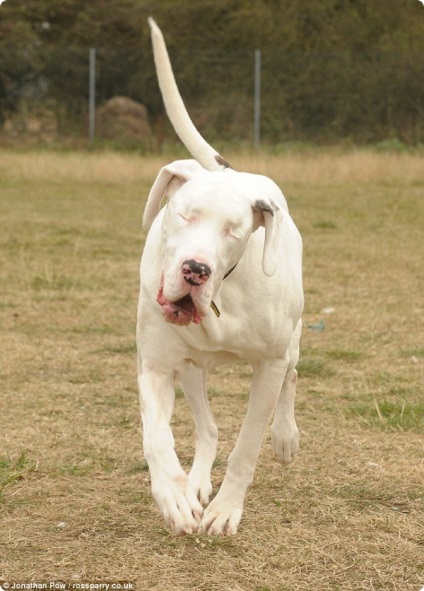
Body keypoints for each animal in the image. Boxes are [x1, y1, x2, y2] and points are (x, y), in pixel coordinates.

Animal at [137, 18, 304, 536]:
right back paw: (193, 482)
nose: (195, 269)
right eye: (183, 214)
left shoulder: (268, 366)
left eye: (235, 230)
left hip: (291, 342)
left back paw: (285, 438)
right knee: (207, 426)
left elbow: (247, 447)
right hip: (190, 369)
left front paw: (227, 509)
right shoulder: (155, 366)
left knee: (293, 374)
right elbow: (156, 438)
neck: (220, 300)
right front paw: (173, 494)